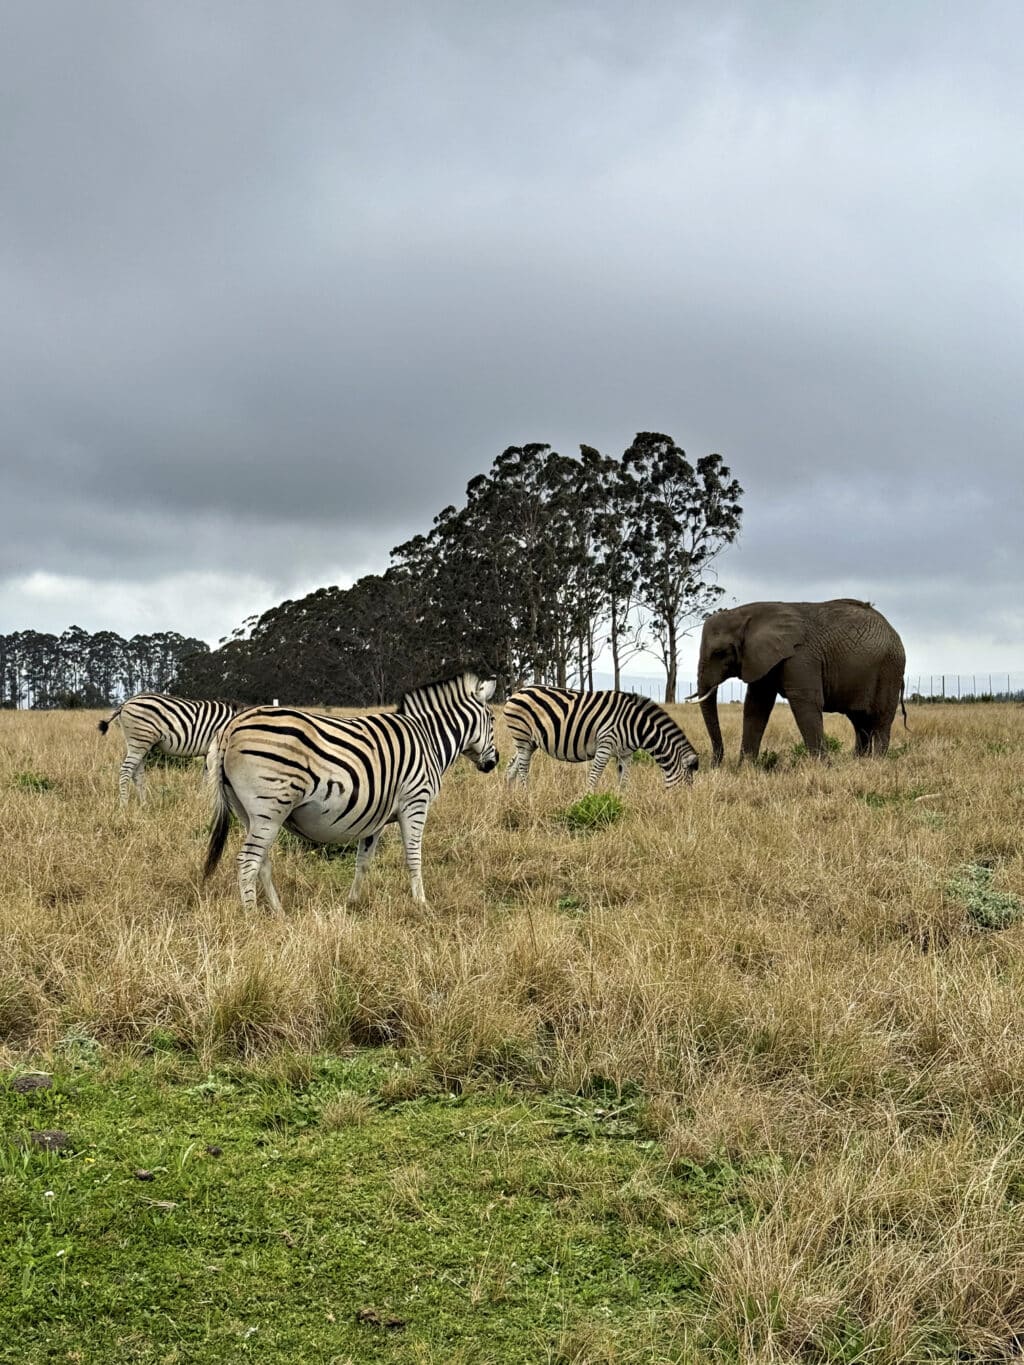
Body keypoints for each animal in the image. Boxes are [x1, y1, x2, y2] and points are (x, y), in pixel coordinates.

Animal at [690, 599, 906, 764]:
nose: (714, 764)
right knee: (860, 720)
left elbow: (805, 701)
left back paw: (877, 762)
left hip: (890, 670)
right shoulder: (761, 658)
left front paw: (822, 767)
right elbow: (756, 705)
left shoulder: (801, 657)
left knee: (879, 720)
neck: (747, 614)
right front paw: (746, 767)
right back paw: (859, 761)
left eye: (719, 653)